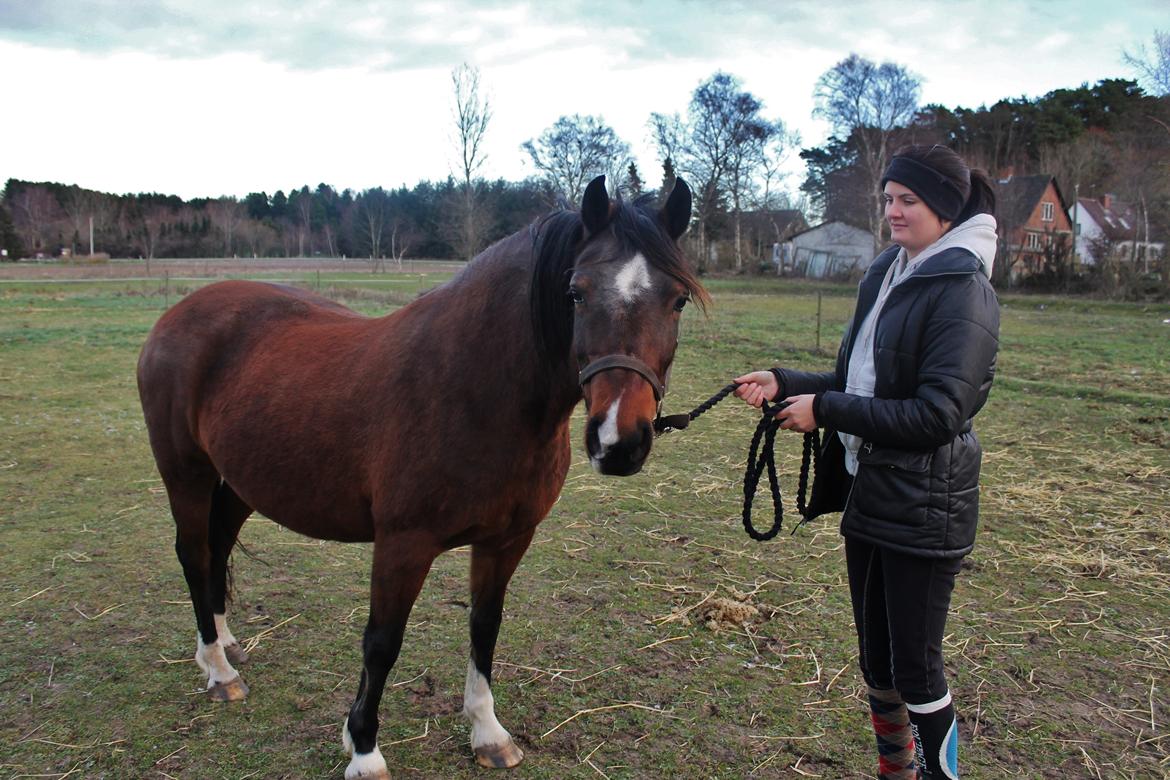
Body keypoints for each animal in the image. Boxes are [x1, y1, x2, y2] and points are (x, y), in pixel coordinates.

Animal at [137, 175, 708, 779]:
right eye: (575, 292)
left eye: (677, 299)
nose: (619, 442)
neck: (473, 389)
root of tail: (181, 312)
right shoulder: (403, 543)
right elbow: (382, 642)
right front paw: (363, 748)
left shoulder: (508, 540)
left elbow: (485, 627)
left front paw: (488, 732)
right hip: (186, 471)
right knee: (194, 553)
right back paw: (218, 671)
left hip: (242, 480)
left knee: (217, 548)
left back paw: (223, 645)